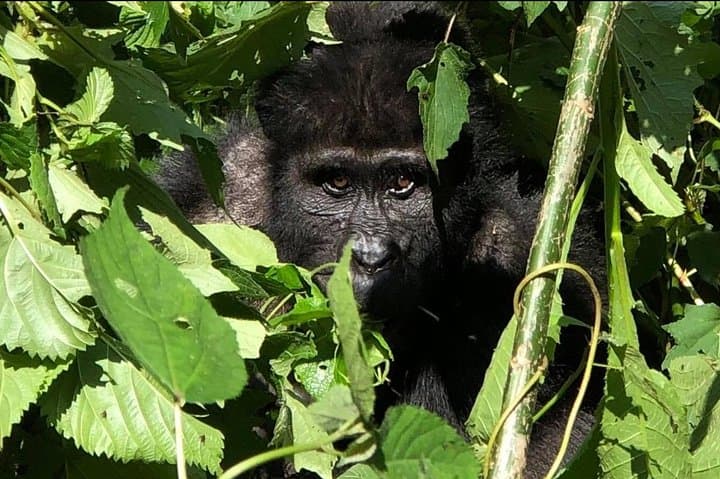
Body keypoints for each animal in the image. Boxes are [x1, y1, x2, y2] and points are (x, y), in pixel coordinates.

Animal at [156, 2, 605, 476]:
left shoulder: (522, 256)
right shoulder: (207, 202)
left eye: (403, 183)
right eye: (337, 181)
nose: (370, 258)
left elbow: (553, 434)